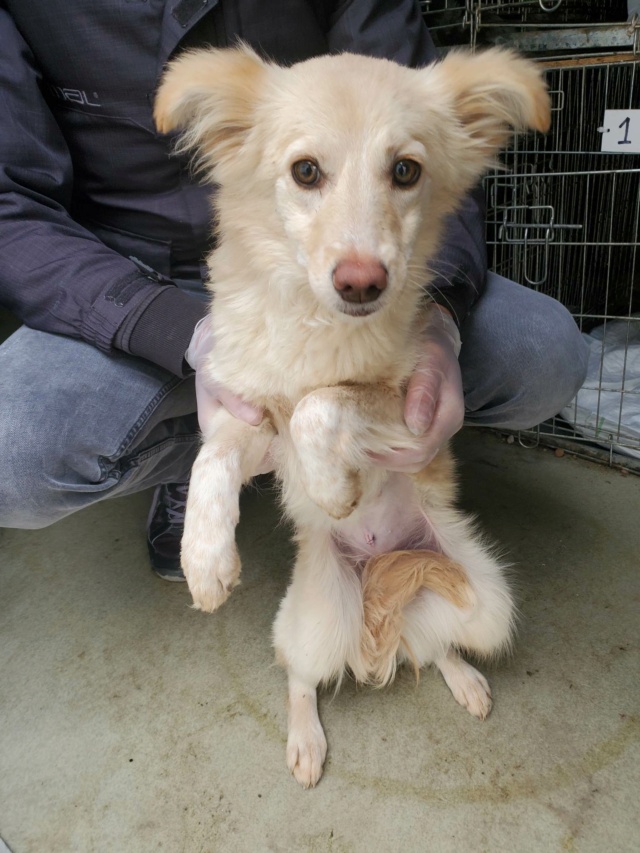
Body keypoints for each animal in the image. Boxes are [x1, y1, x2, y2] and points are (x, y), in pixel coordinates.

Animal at [155, 45, 552, 784]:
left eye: (406, 171)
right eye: (305, 171)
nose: (363, 282)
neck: (314, 324)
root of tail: (378, 580)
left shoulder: (411, 412)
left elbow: (319, 405)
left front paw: (333, 487)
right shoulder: (249, 413)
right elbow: (211, 456)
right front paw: (204, 558)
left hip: (486, 598)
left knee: (440, 643)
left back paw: (465, 680)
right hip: (311, 621)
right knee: (301, 677)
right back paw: (306, 739)